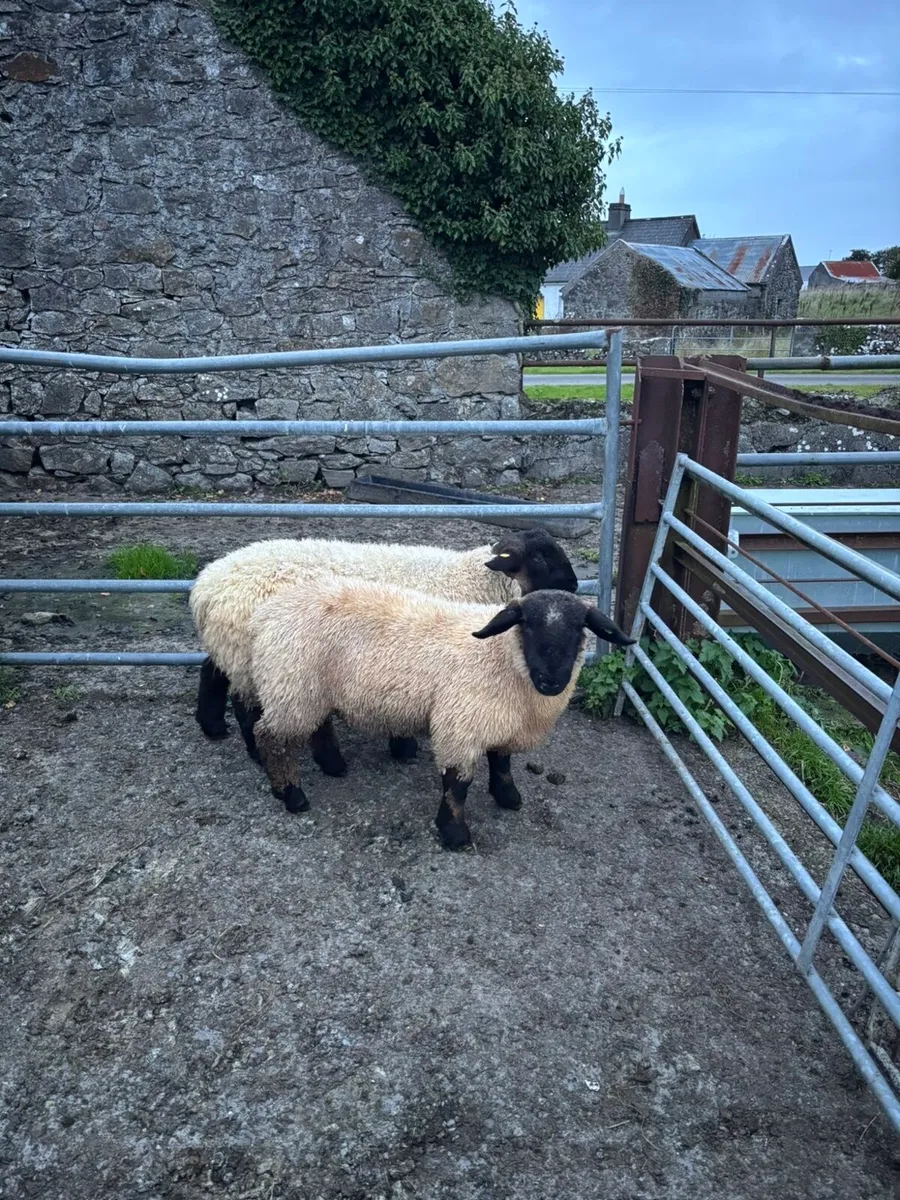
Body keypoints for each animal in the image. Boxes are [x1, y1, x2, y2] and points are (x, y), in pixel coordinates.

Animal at [189, 527, 578, 768]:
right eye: (541, 558)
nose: (574, 585)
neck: (467, 579)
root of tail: (206, 586)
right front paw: (403, 747)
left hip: (236, 648)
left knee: (211, 672)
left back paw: (212, 727)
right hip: (257, 656)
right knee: (244, 704)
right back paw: (258, 752)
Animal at [245, 580, 634, 849]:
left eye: (579, 629)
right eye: (528, 624)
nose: (551, 681)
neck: (502, 657)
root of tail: (265, 614)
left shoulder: (499, 720)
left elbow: (502, 762)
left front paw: (508, 797)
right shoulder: (460, 725)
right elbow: (456, 786)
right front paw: (454, 833)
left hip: (308, 690)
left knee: (316, 725)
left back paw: (331, 766)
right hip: (292, 686)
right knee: (271, 738)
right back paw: (290, 794)